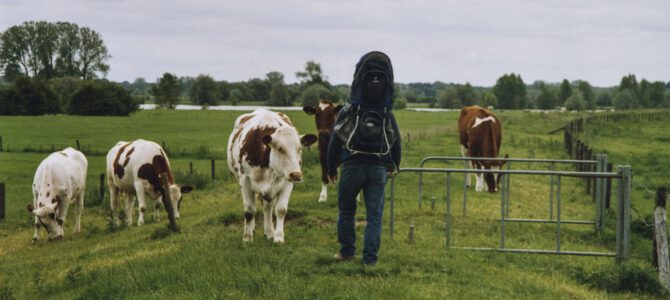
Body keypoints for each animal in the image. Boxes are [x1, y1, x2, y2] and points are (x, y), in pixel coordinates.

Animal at [228, 109, 318, 243]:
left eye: (299, 149)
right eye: (280, 149)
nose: (296, 174)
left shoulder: (287, 182)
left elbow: (281, 210)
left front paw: (278, 237)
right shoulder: (245, 181)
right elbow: (249, 210)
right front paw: (247, 238)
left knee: (267, 208)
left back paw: (269, 232)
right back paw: (252, 229)